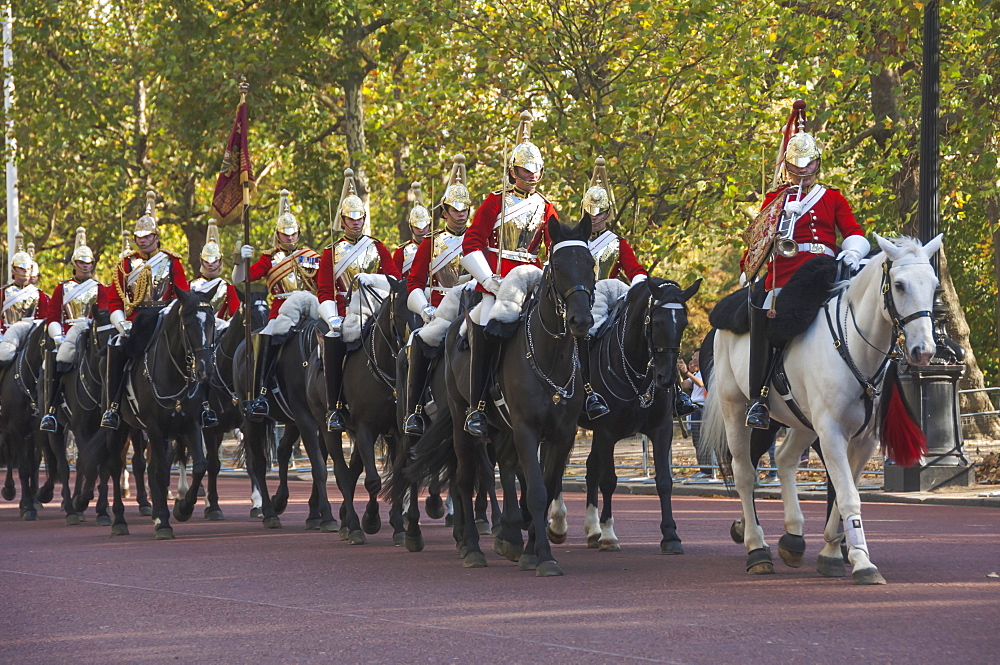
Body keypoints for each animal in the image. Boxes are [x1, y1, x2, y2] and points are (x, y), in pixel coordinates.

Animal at [552, 274, 700, 548]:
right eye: (657, 322)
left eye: (683, 322)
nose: (666, 378)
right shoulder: (607, 431)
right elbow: (609, 480)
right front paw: (609, 534)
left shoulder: (662, 428)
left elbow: (664, 481)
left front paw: (670, 535)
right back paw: (558, 523)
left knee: (589, 469)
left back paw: (592, 529)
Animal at [700, 235, 940, 588]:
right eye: (899, 285)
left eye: (935, 285)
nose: (923, 351)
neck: (855, 346)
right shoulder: (831, 432)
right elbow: (848, 494)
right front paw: (861, 561)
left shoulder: (862, 440)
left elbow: (843, 492)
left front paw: (834, 551)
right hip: (738, 410)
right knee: (744, 472)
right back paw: (756, 548)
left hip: (799, 420)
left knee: (783, 459)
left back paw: (792, 537)